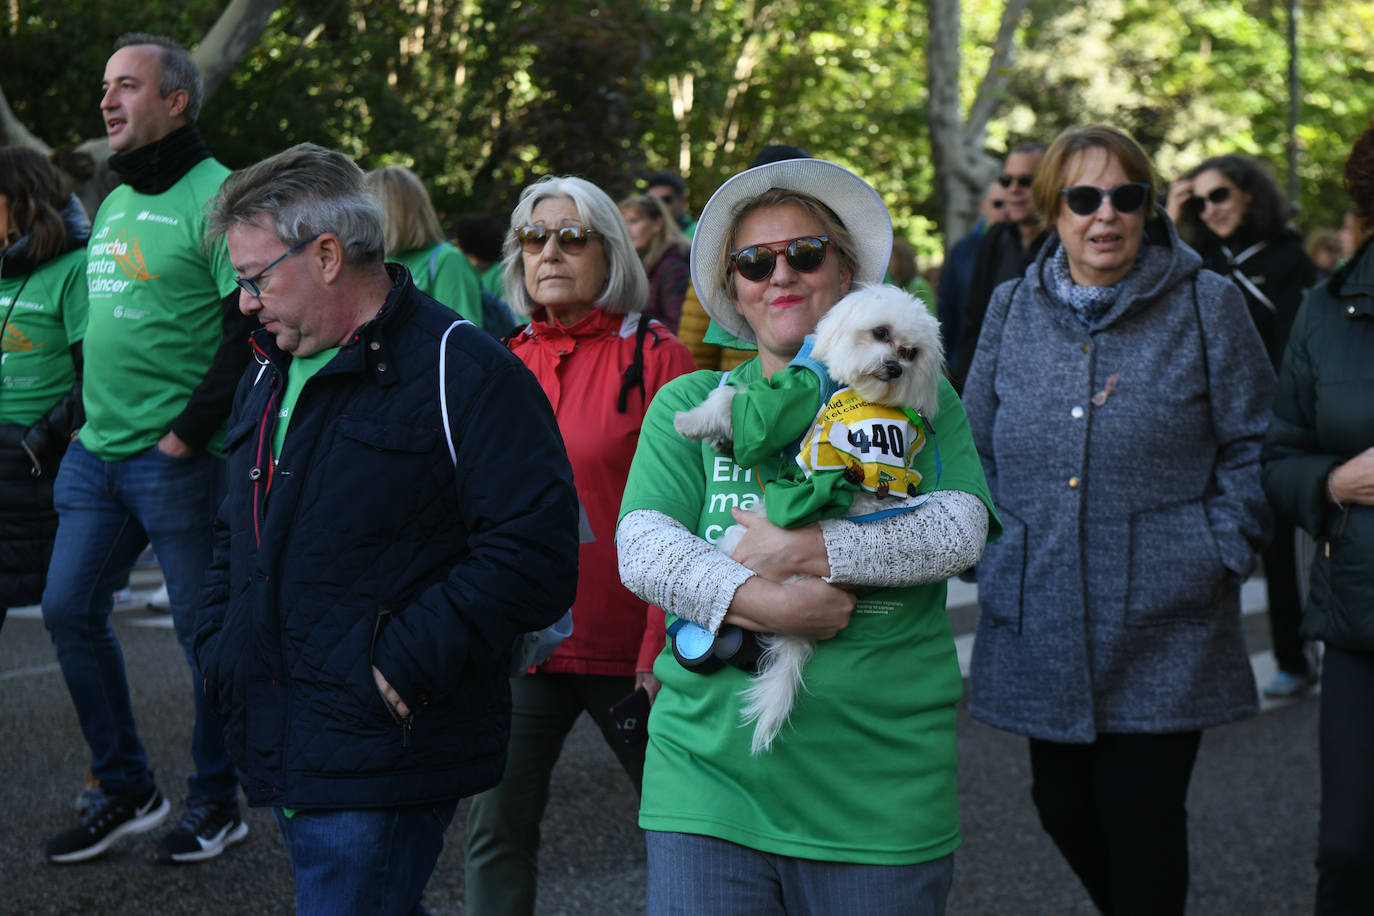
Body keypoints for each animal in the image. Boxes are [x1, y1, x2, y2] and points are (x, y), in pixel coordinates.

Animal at [673, 284, 945, 752]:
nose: (895, 368)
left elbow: (737, 403)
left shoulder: (792, 396)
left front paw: (693, 421)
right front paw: (719, 439)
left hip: (739, 541)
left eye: (911, 353)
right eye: (881, 333)